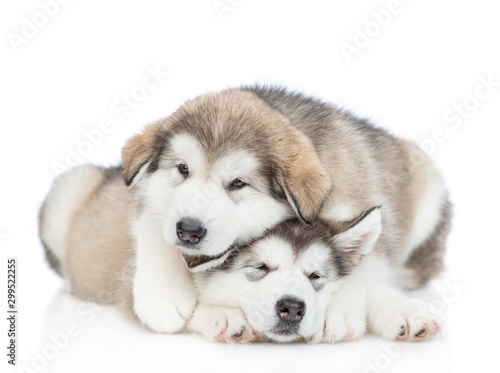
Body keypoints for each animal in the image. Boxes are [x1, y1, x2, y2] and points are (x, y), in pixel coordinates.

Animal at [40, 85, 454, 338]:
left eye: (238, 184)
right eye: (183, 170)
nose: (188, 231)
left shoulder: (360, 207)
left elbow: (364, 272)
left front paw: (375, 311)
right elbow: (150, 225)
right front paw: (176, 298)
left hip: (427, 181)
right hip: (65, 192)